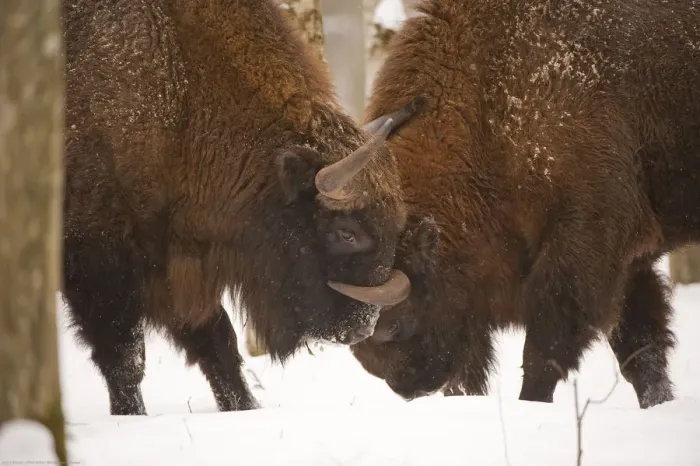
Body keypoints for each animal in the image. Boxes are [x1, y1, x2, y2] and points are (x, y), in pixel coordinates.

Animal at [61, 0, 423, 415]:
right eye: (346, 232)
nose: (362, 327)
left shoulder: (176, 264)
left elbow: (218, 345)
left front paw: (244, 406)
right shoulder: (100, 263)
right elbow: (125, 357)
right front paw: (130, 417)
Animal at [351, 0, 700, 409]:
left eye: (393, 324)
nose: (410, 388)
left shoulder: (587, 243)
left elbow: (545, 349)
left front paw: (531, 403)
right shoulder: (630, 263)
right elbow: (641, 349)